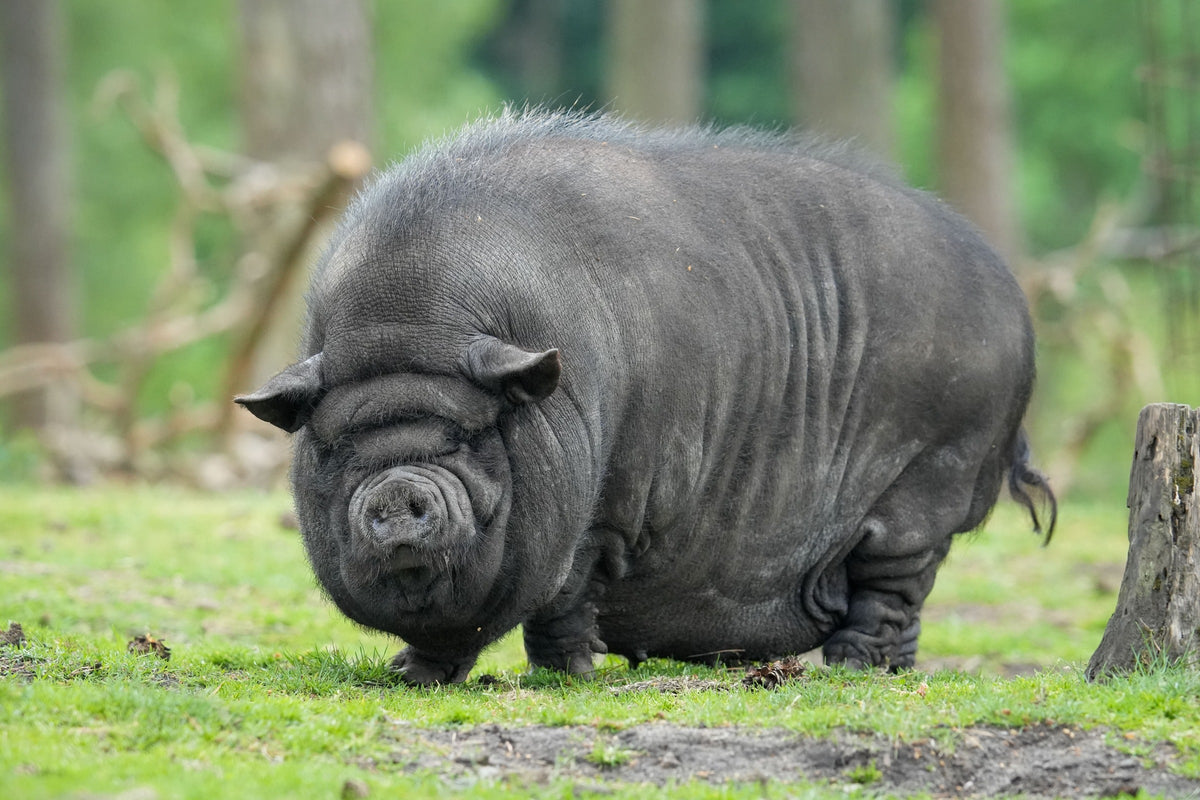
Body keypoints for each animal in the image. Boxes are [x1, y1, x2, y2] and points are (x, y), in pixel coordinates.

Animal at [237, 109, 1055, 685]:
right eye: (337, 445)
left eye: (471, 437)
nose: (396, 487)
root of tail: (1017, 308)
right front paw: (406, 675)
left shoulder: (607, 510)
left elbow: (564, 592)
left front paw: (567, 674)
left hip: (931, 477)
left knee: (895, 586)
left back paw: (855, 668)